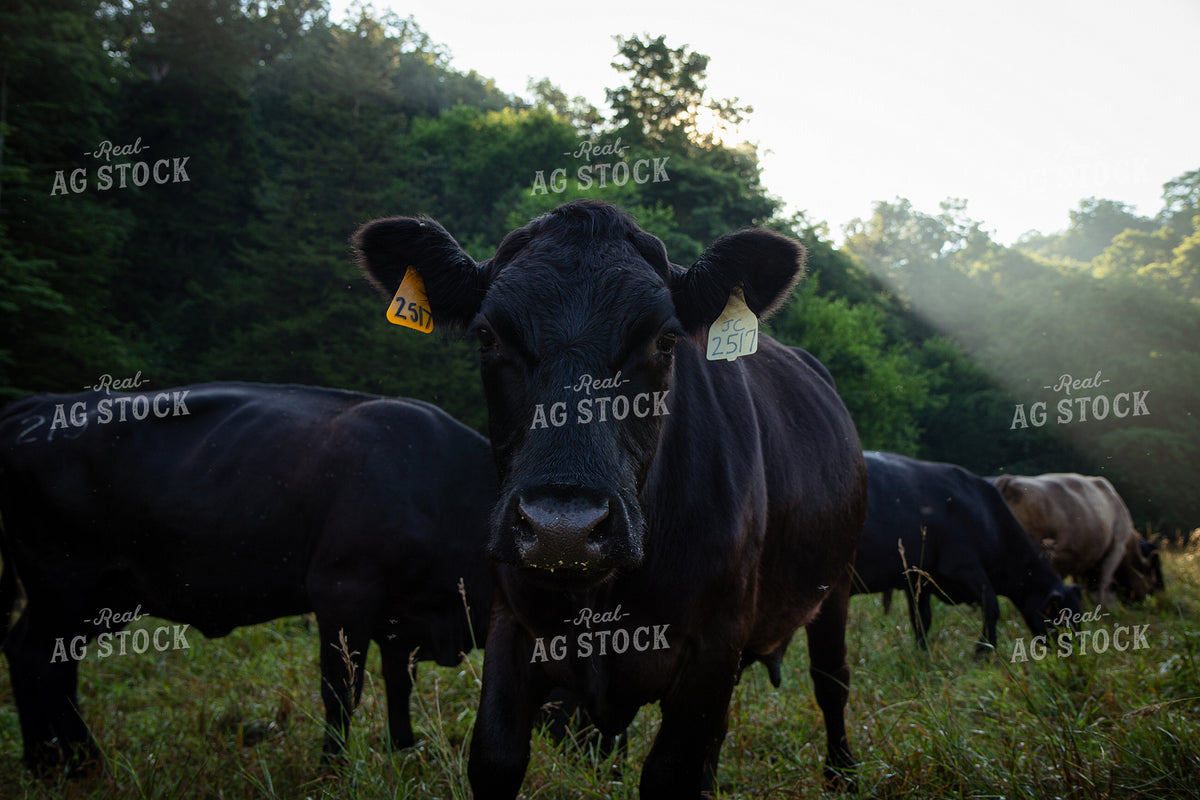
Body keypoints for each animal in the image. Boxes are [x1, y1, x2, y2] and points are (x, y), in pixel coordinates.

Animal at [0, 382, 496, 775]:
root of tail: (39, 403)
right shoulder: (343, 592)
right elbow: (341, 690)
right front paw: (332, 771)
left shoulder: (402, 617)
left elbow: (398, 684)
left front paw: (404, 752)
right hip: (65, 587)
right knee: (38, 658)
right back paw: (65, 762)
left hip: (97, 598)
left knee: (40, 659)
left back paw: (57, 760)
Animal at [353, 199, 868, 799]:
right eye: (487, 335)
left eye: (665, 340)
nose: (564, 530)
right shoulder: (512, 621)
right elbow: (494, 757)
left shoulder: (714, 640)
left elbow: (671, 772)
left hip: (835, 584)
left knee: (832, 681)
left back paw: (843, 772)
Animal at [853, 452, 1082, 654]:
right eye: (1063, 621)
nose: (1076, 655)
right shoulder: (962, 567)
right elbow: (992, 606)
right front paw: (984, 650)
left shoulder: (918, 578)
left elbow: (922, 619)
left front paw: (921, 653)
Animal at [990, 472, 1162, 606]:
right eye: (1153, 582)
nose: (1147, 601)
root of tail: (1009, 480)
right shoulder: (1116, 548)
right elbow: (1104, 581)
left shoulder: (1082, 559)